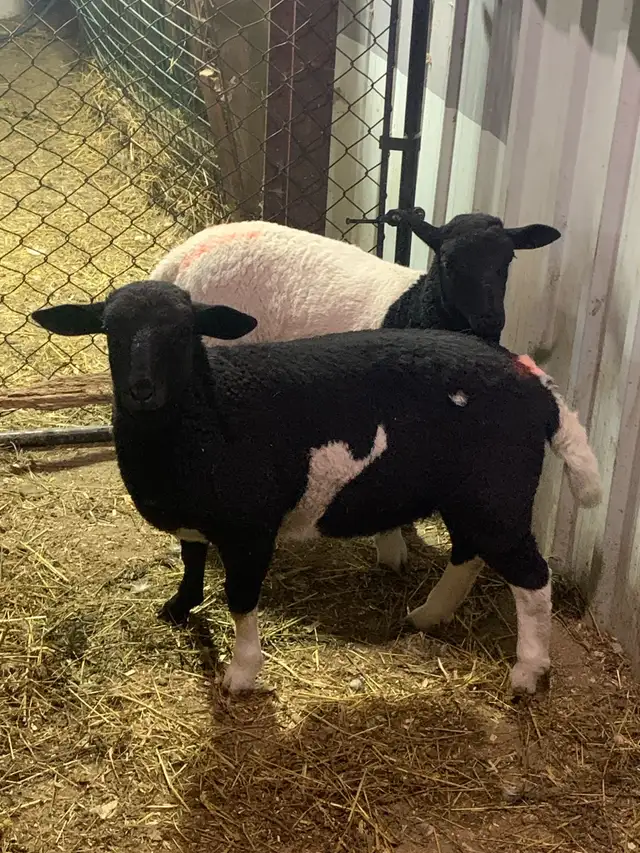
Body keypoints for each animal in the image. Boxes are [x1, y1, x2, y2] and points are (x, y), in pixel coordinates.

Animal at [32, 280, 602, 696]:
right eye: (110, 331)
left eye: (183, 332)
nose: (141, 389)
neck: (206, 414)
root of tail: (535, 383)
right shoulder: (196, 515)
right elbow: (191, 558)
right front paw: (179, 607)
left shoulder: (249, 526)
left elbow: (240, 598)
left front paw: (241, 674)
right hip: (473, 495)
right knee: (469, 552)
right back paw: (429, 615)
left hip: (495, 488)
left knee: (532, 577)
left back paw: (528, 672)